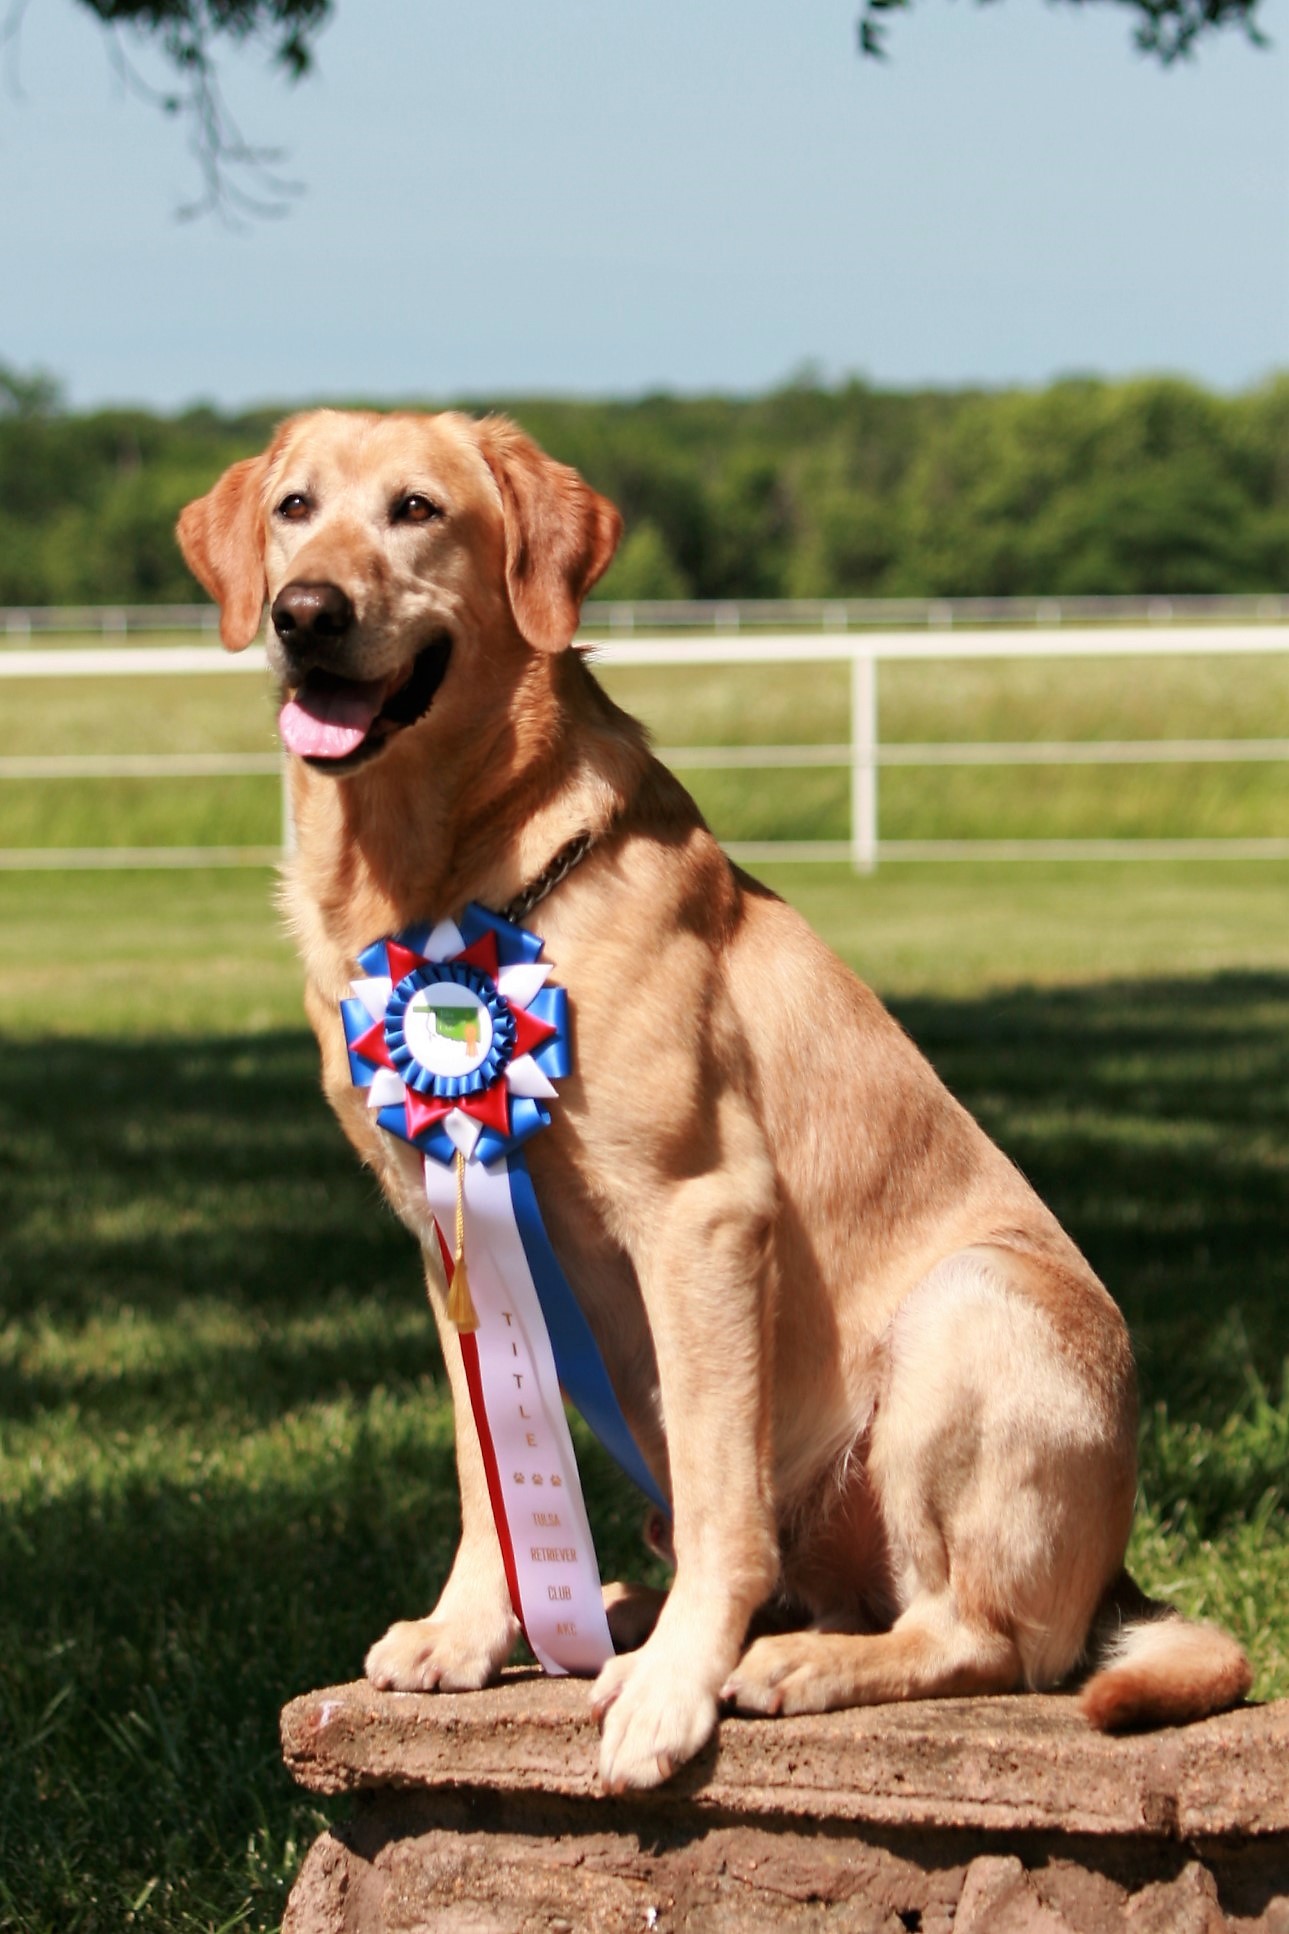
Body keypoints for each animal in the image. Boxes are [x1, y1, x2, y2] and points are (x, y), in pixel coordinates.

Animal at [176, 411, 1246, 1794]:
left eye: (417, 509)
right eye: (295, 508)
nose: (305, 611)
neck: (439, 869)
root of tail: (1119, 1578)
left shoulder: (699, 1213)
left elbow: (719, 1487)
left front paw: (673, 1683)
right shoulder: (448, 1234)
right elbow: (483, 1469)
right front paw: (474, 1629)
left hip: (972, 1306)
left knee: (982, 1635)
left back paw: (783, 1659)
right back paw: (625, 1609)